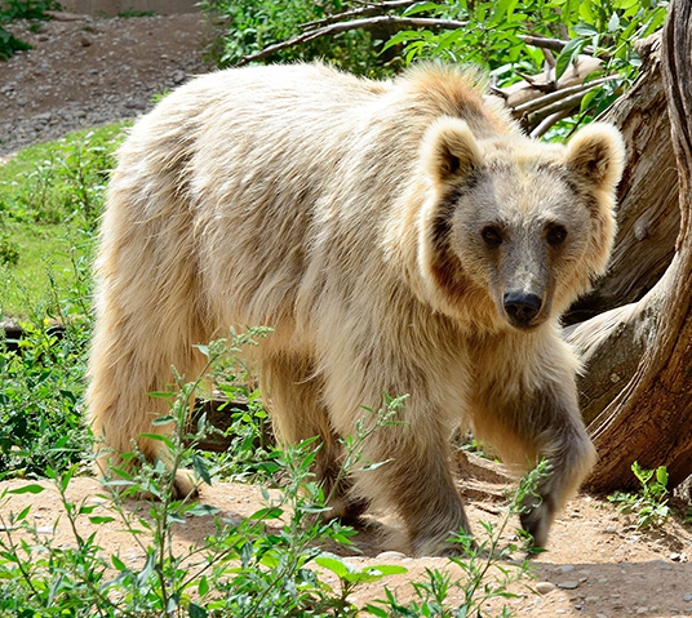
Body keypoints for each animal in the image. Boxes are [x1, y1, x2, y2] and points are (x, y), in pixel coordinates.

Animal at [84, 61, 624, 552]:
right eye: (491, 231)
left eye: (556, 230)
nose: (523, 302)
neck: (452, 293)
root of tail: (166, 101)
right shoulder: (385, 285)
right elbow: (396, 399)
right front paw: (447, 532)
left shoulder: (494, 328)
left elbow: (530, 395)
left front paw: (538, 506)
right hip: (177, 227)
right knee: (149, 343)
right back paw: (146, 468)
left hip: (283, 295)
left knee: (297, 379)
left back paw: (337, 497)